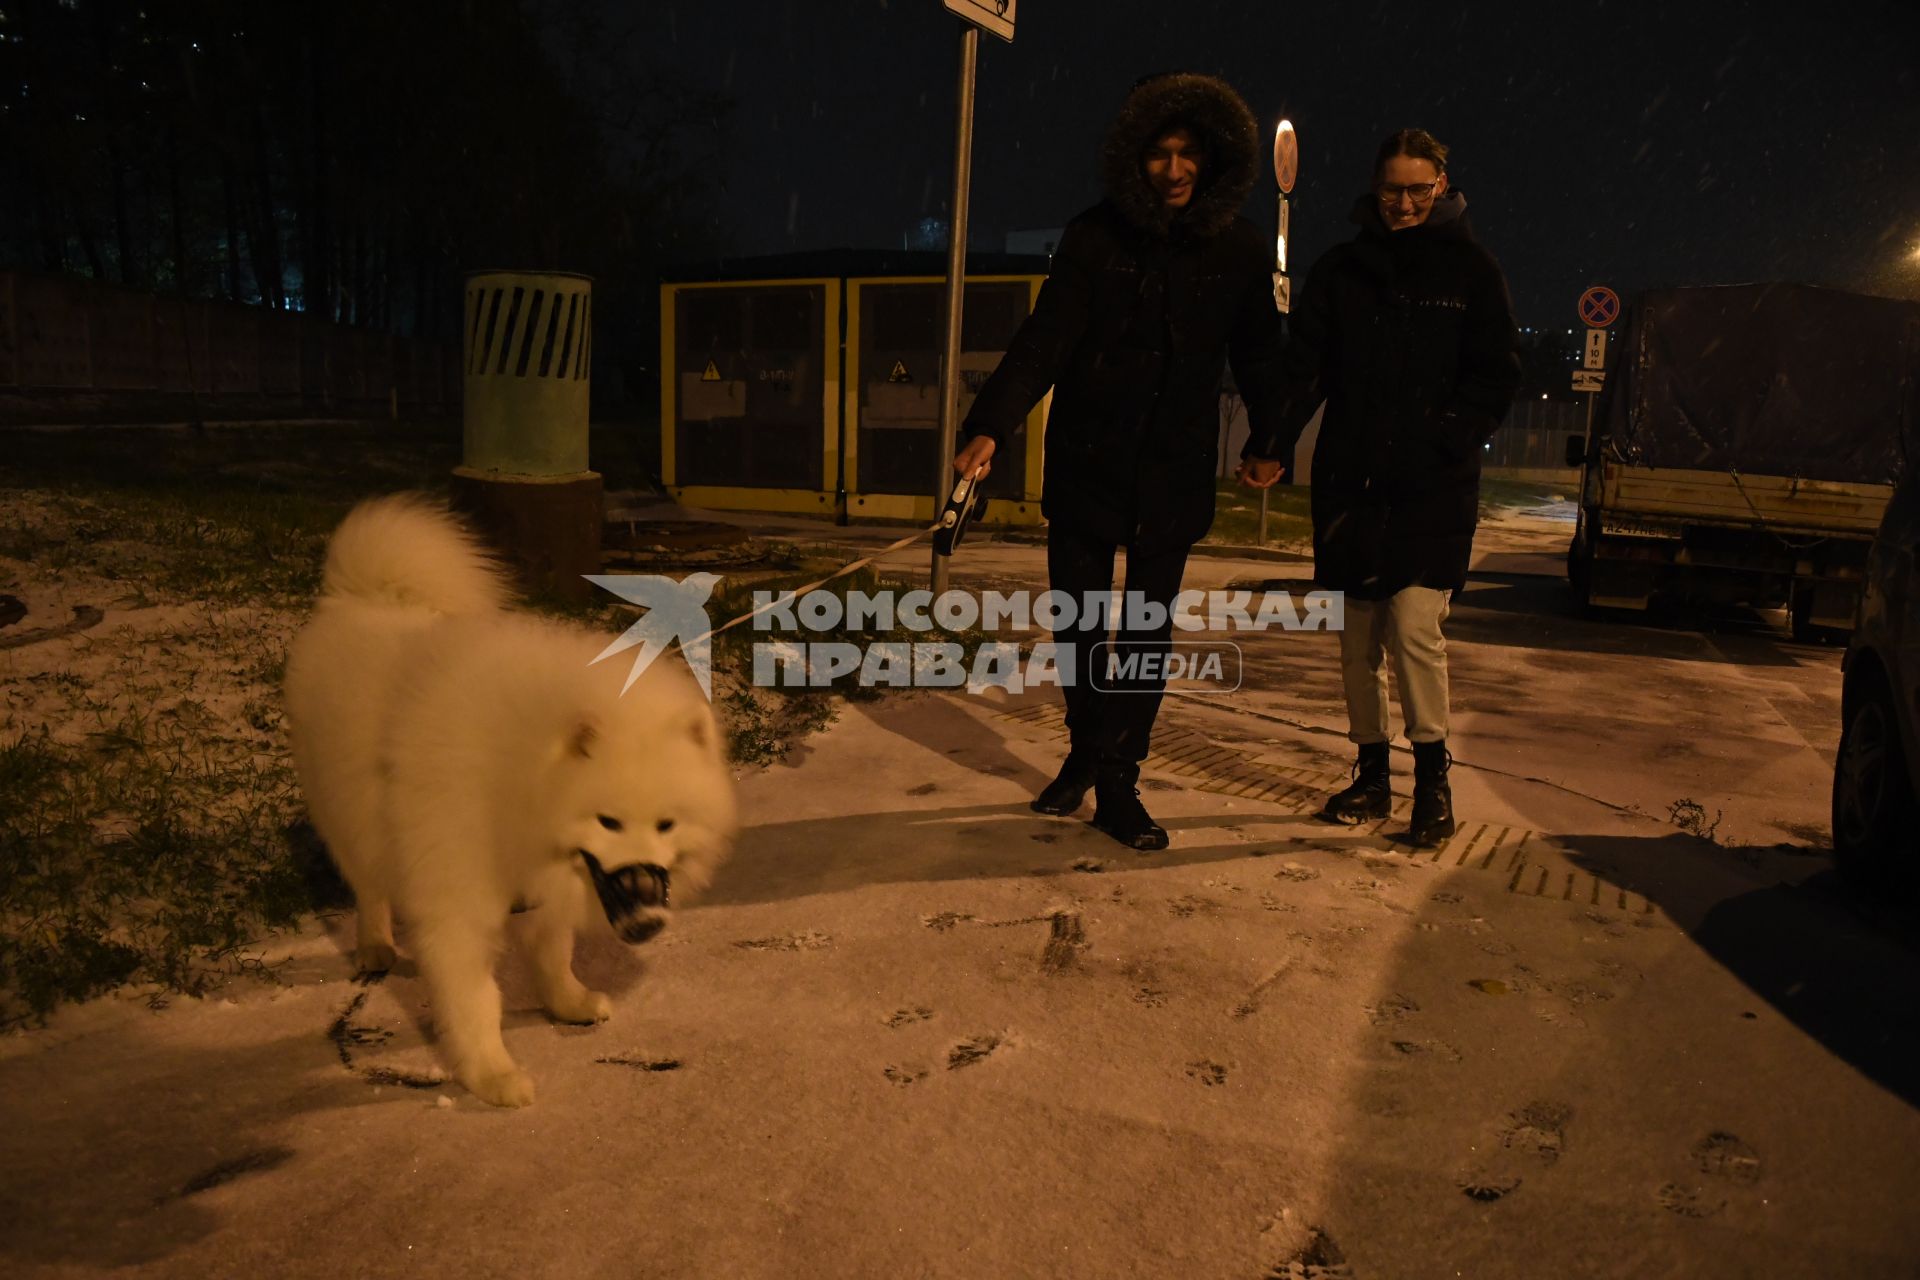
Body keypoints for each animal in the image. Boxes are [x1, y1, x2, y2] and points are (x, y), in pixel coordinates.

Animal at [282, 495, 733, 1105]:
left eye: (667, 825)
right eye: (608, 822)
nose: (648, 923)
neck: (514, 777)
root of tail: (361, 596)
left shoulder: (546, 884)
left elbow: (552, 950)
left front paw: (567, 1002)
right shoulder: (459, 903)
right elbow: (474, 998)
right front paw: (491, 1075)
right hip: (348, 812)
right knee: (369, 884)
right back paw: (374, 944)